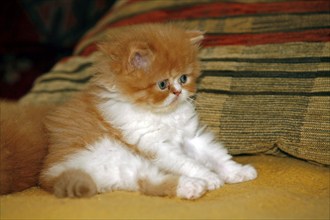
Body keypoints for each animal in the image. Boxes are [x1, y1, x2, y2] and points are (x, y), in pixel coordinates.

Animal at [38, 24, 258, 199]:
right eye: (162, 84)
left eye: (183, 78)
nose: (178, 92)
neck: (163, 115)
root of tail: (50, 175)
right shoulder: (155, 145)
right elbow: (188, 162)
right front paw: (210, 176)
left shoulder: (191, 137)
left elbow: (216, 155)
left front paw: (237, 172)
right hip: (110, 152)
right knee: (150, 180)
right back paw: (194, 185)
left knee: (146, 181)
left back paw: (192, 187)